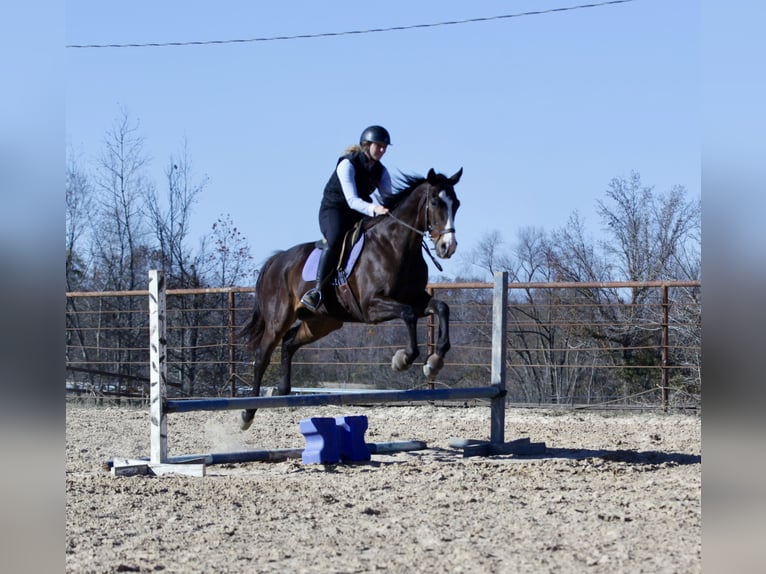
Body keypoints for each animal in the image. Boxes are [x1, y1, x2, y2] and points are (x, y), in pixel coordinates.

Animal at [238, 167, 463, 430]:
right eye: (436, 202)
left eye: (456, 204)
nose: (448, 247)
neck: (396, 246)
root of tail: (276, 261)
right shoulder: (371, 307)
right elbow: (407, 314)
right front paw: (403, 359)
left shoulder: (416, 298)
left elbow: (442, 307)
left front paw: (434, 361)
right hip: (278, 319)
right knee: (261, 356)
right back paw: (247, 413)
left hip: (322, 322)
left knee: (290, 342)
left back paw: (283, 390)